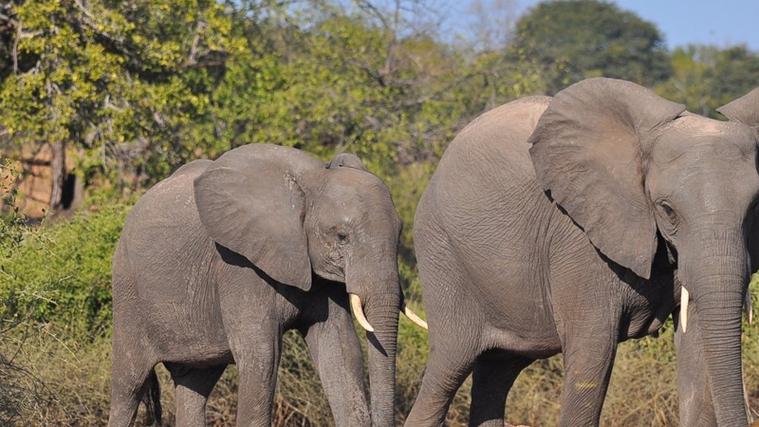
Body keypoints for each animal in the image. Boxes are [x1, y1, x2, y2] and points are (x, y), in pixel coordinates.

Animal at [107, 145, 428, 427]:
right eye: (341, 236)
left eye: (400, 231)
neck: (310, 182)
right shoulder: (239, 266)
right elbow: (262, 356)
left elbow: (340, 348)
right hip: (128, 294)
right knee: (128, 385)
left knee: (194, 383)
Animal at [404, 78, 759, 426]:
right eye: (667, 210)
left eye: (754, 207)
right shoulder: (579, 240)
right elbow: (592, 354)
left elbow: (697, 352)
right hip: (441, 254)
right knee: (448, 367)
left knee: (496, 372)